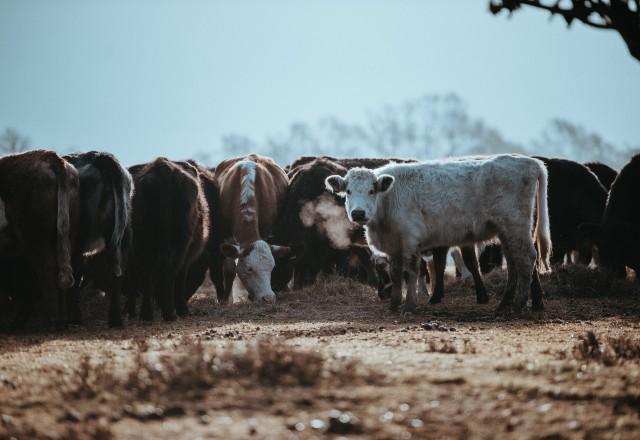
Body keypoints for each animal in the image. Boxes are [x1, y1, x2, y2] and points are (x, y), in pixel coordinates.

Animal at [328, 155, 552, 312]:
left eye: (371, 191)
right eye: (348, 191)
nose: (358, 213)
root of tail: (529, 161)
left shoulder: (410, 240)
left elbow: (411, 272)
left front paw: (410, 305)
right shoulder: (394, 246)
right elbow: (396, 274)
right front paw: (394, 304)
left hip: (516, 226)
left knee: (526, 259)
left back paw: (518, 305)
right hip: (506, 232)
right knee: (514, 263)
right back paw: (504, 304)